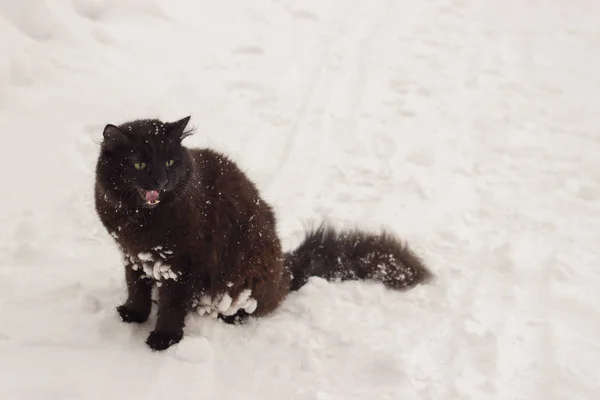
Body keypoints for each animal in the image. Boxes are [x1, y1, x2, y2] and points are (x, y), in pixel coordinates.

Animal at [92, 115, 432, 350]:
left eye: (171, 161)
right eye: (139, 164)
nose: (161, 180)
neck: (140, 221)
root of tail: (285, 270)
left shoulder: (183, 265)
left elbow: (172, 306)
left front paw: (163, 338)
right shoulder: (133, 255)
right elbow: (136, 287)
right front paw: (134, 313)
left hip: (247, 278)